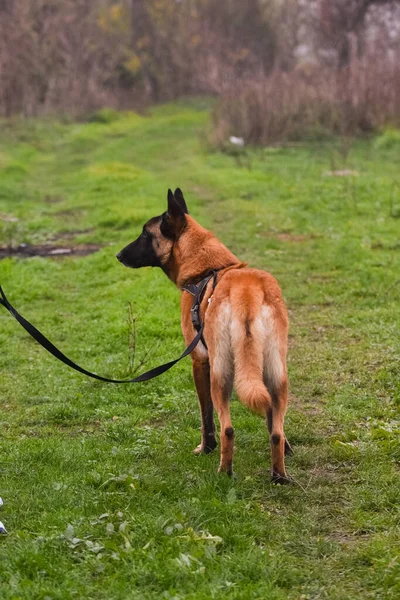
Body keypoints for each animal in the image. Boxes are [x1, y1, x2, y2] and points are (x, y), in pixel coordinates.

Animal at [117, 190, 292, 480]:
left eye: (144, 234)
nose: (119, 255)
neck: (208, 268)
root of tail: (246, 292)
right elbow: (271, 422)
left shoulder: (199, 361)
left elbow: (205, 415)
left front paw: (205, 447)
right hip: (276, 374)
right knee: (276, 430)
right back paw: (279, 475)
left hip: (220, 375)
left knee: (228, 429)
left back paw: (224, 472)